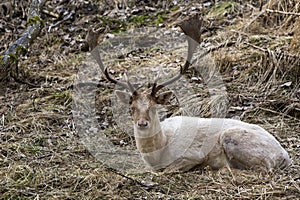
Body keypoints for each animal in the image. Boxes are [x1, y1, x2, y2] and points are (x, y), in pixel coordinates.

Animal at [91, 15, 290, 172]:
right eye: (131, 107)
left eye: (153, 107)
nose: (142, 123)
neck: (159, 153)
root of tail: (285, 155)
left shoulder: (192, 155)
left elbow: (168, 171)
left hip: (233, 138)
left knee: (262, 168)